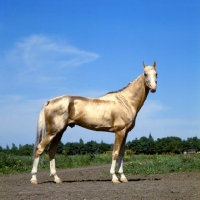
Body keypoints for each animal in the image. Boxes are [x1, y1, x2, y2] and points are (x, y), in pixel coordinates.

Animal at [30, 61, 158, 184]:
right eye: (145, 74)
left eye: (156, 74)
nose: (153, 88)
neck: (125, 101)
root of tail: (50, 101)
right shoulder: (119, 131)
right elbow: (115, 153)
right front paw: (114, 177)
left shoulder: (125, 133)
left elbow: (122, 153)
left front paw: (123, 177)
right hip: (52, 132)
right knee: (40, 148)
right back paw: (34, 178)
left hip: (59, 132)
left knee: (51, 151)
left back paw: (56, 178)